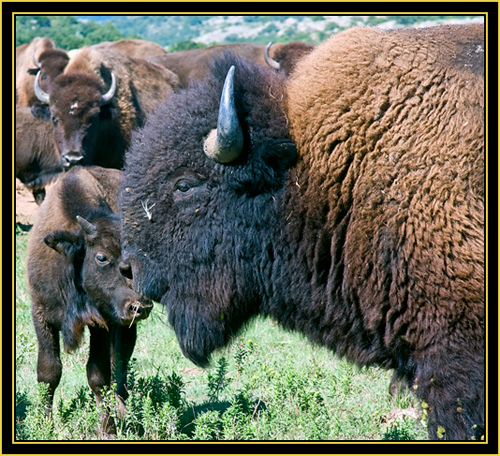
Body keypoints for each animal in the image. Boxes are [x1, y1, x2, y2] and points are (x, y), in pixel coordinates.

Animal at [26, 166, 152, 436]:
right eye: (102, 257)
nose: (140, 307)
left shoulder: (102, 323)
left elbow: (98, 375)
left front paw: (108, 429)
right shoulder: (41, 314)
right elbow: (48, 372)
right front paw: (44, 425)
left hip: (124, 326)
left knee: (120, 360)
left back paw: (122, 408)